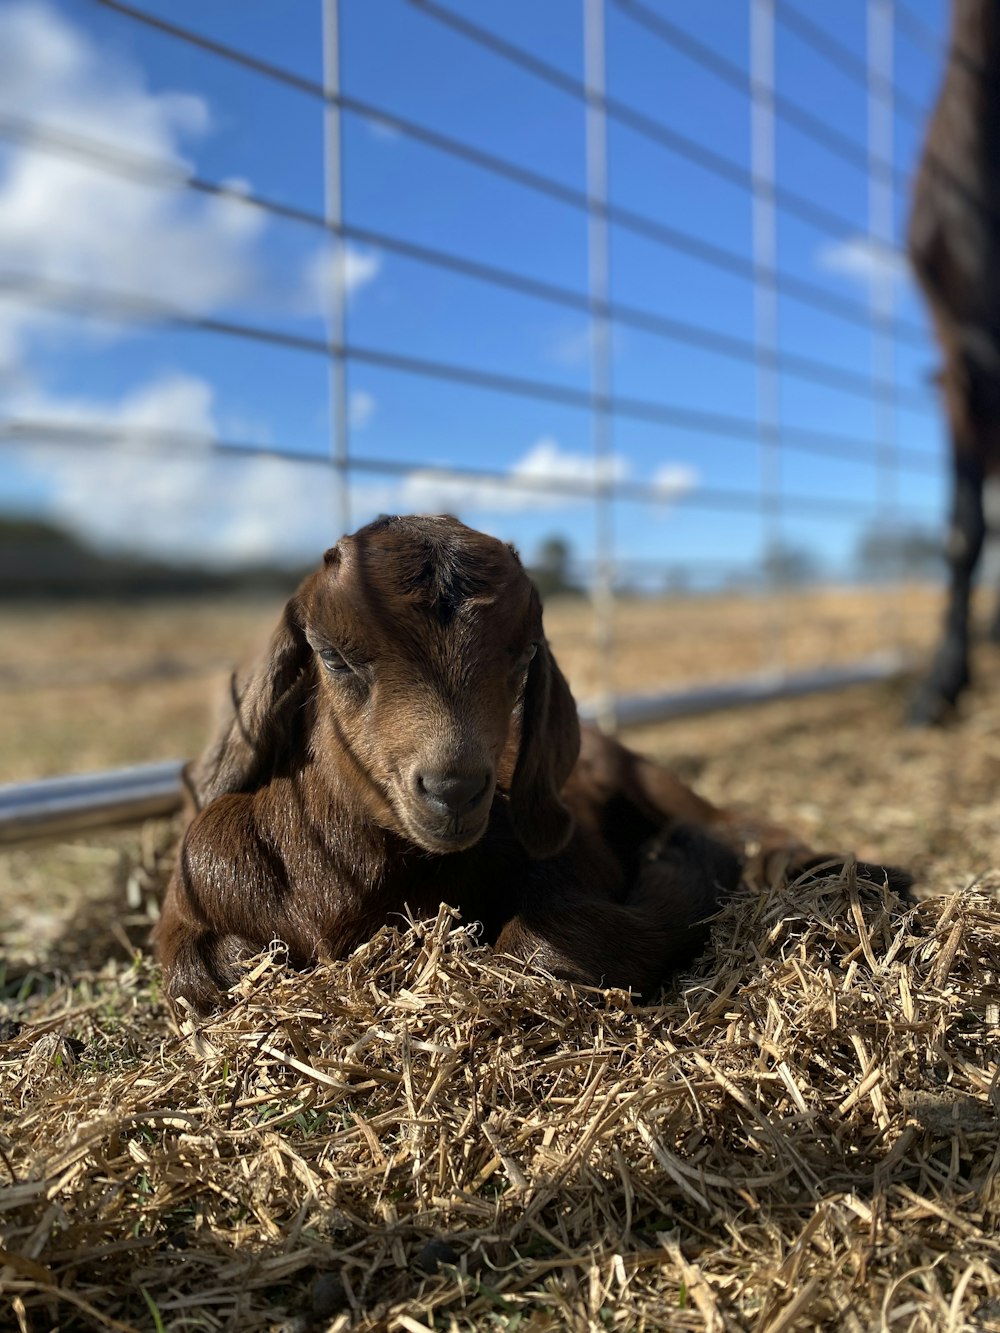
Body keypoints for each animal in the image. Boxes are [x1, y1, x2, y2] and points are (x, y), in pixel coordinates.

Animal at [156, 511, 906, 1007]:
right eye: (333, 656)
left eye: (520, 658)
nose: (455, 789)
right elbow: (216, 969)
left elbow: (551, 941)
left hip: (648, 775)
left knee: (733, 820)